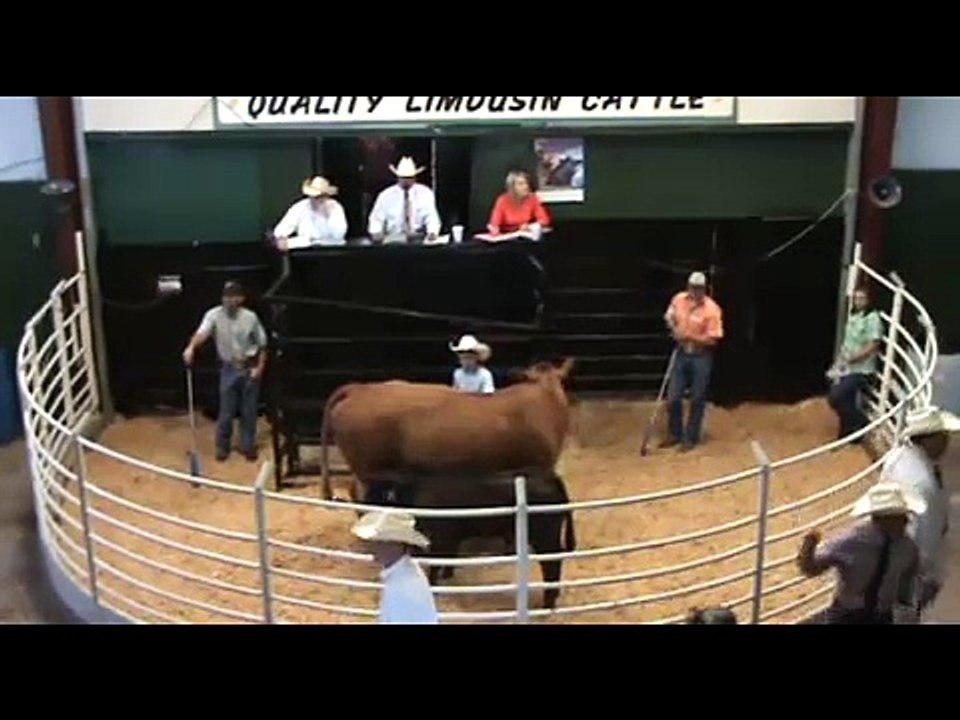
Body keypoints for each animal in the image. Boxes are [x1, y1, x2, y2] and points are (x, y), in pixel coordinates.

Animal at [364, 471, 577, 610]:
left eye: (378, 494)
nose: (363, 506)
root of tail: (550, 478)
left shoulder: (441, 537)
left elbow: (437, 562)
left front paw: (434, 585)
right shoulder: (452, 539)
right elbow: (450, 558)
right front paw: (448, 575)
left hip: (545, 536)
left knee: (552, 563)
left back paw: (548, 601)